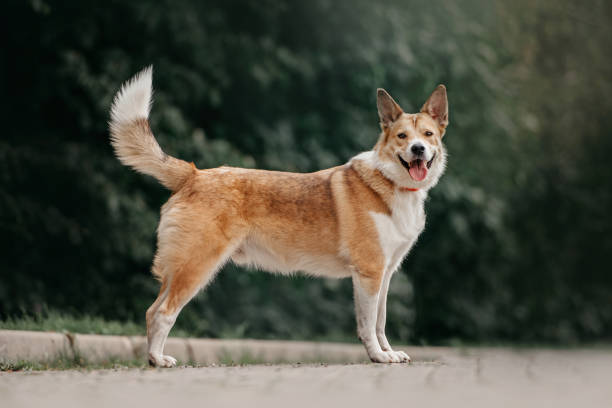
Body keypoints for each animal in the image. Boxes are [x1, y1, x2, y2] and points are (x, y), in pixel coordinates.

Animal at [107, 67, 448, 366]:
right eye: (402, 136)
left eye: (428, 134)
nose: (418, 149)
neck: (391, 183)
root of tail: (194, 174)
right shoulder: (368, 274)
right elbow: (367, 325)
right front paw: (378, 357)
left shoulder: (385, 274)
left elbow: (380, 321)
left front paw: (389, 353)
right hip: (196, 266)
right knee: (163, 313)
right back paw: (158, 360)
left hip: (180, 268)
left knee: (151, 311)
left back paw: (153, 359)